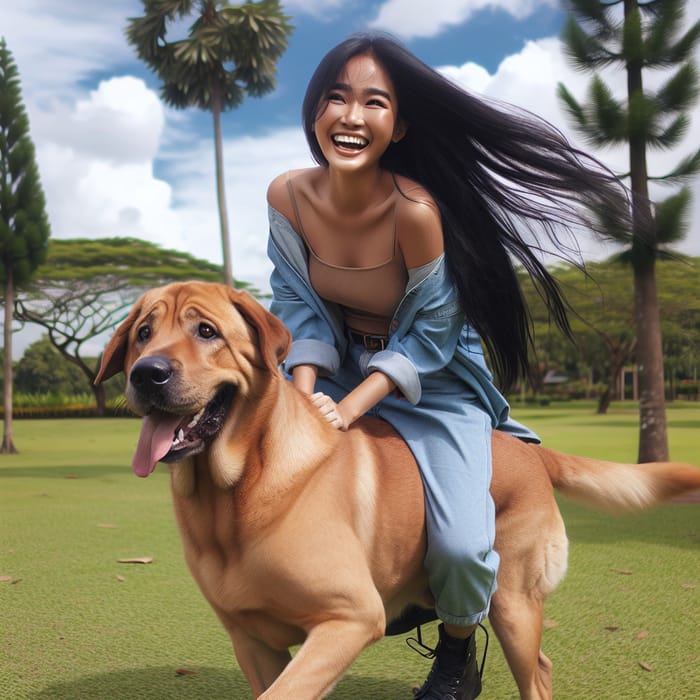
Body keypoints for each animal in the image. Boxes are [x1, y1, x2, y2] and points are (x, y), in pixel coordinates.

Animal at [97, 282, 700, 696]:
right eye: (144, 334)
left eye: (207, 332)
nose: (147, 373)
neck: (238, 494)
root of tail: (527, 449)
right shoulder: (255, 643)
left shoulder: (350, 619)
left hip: (513, 601)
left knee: (536, 668)